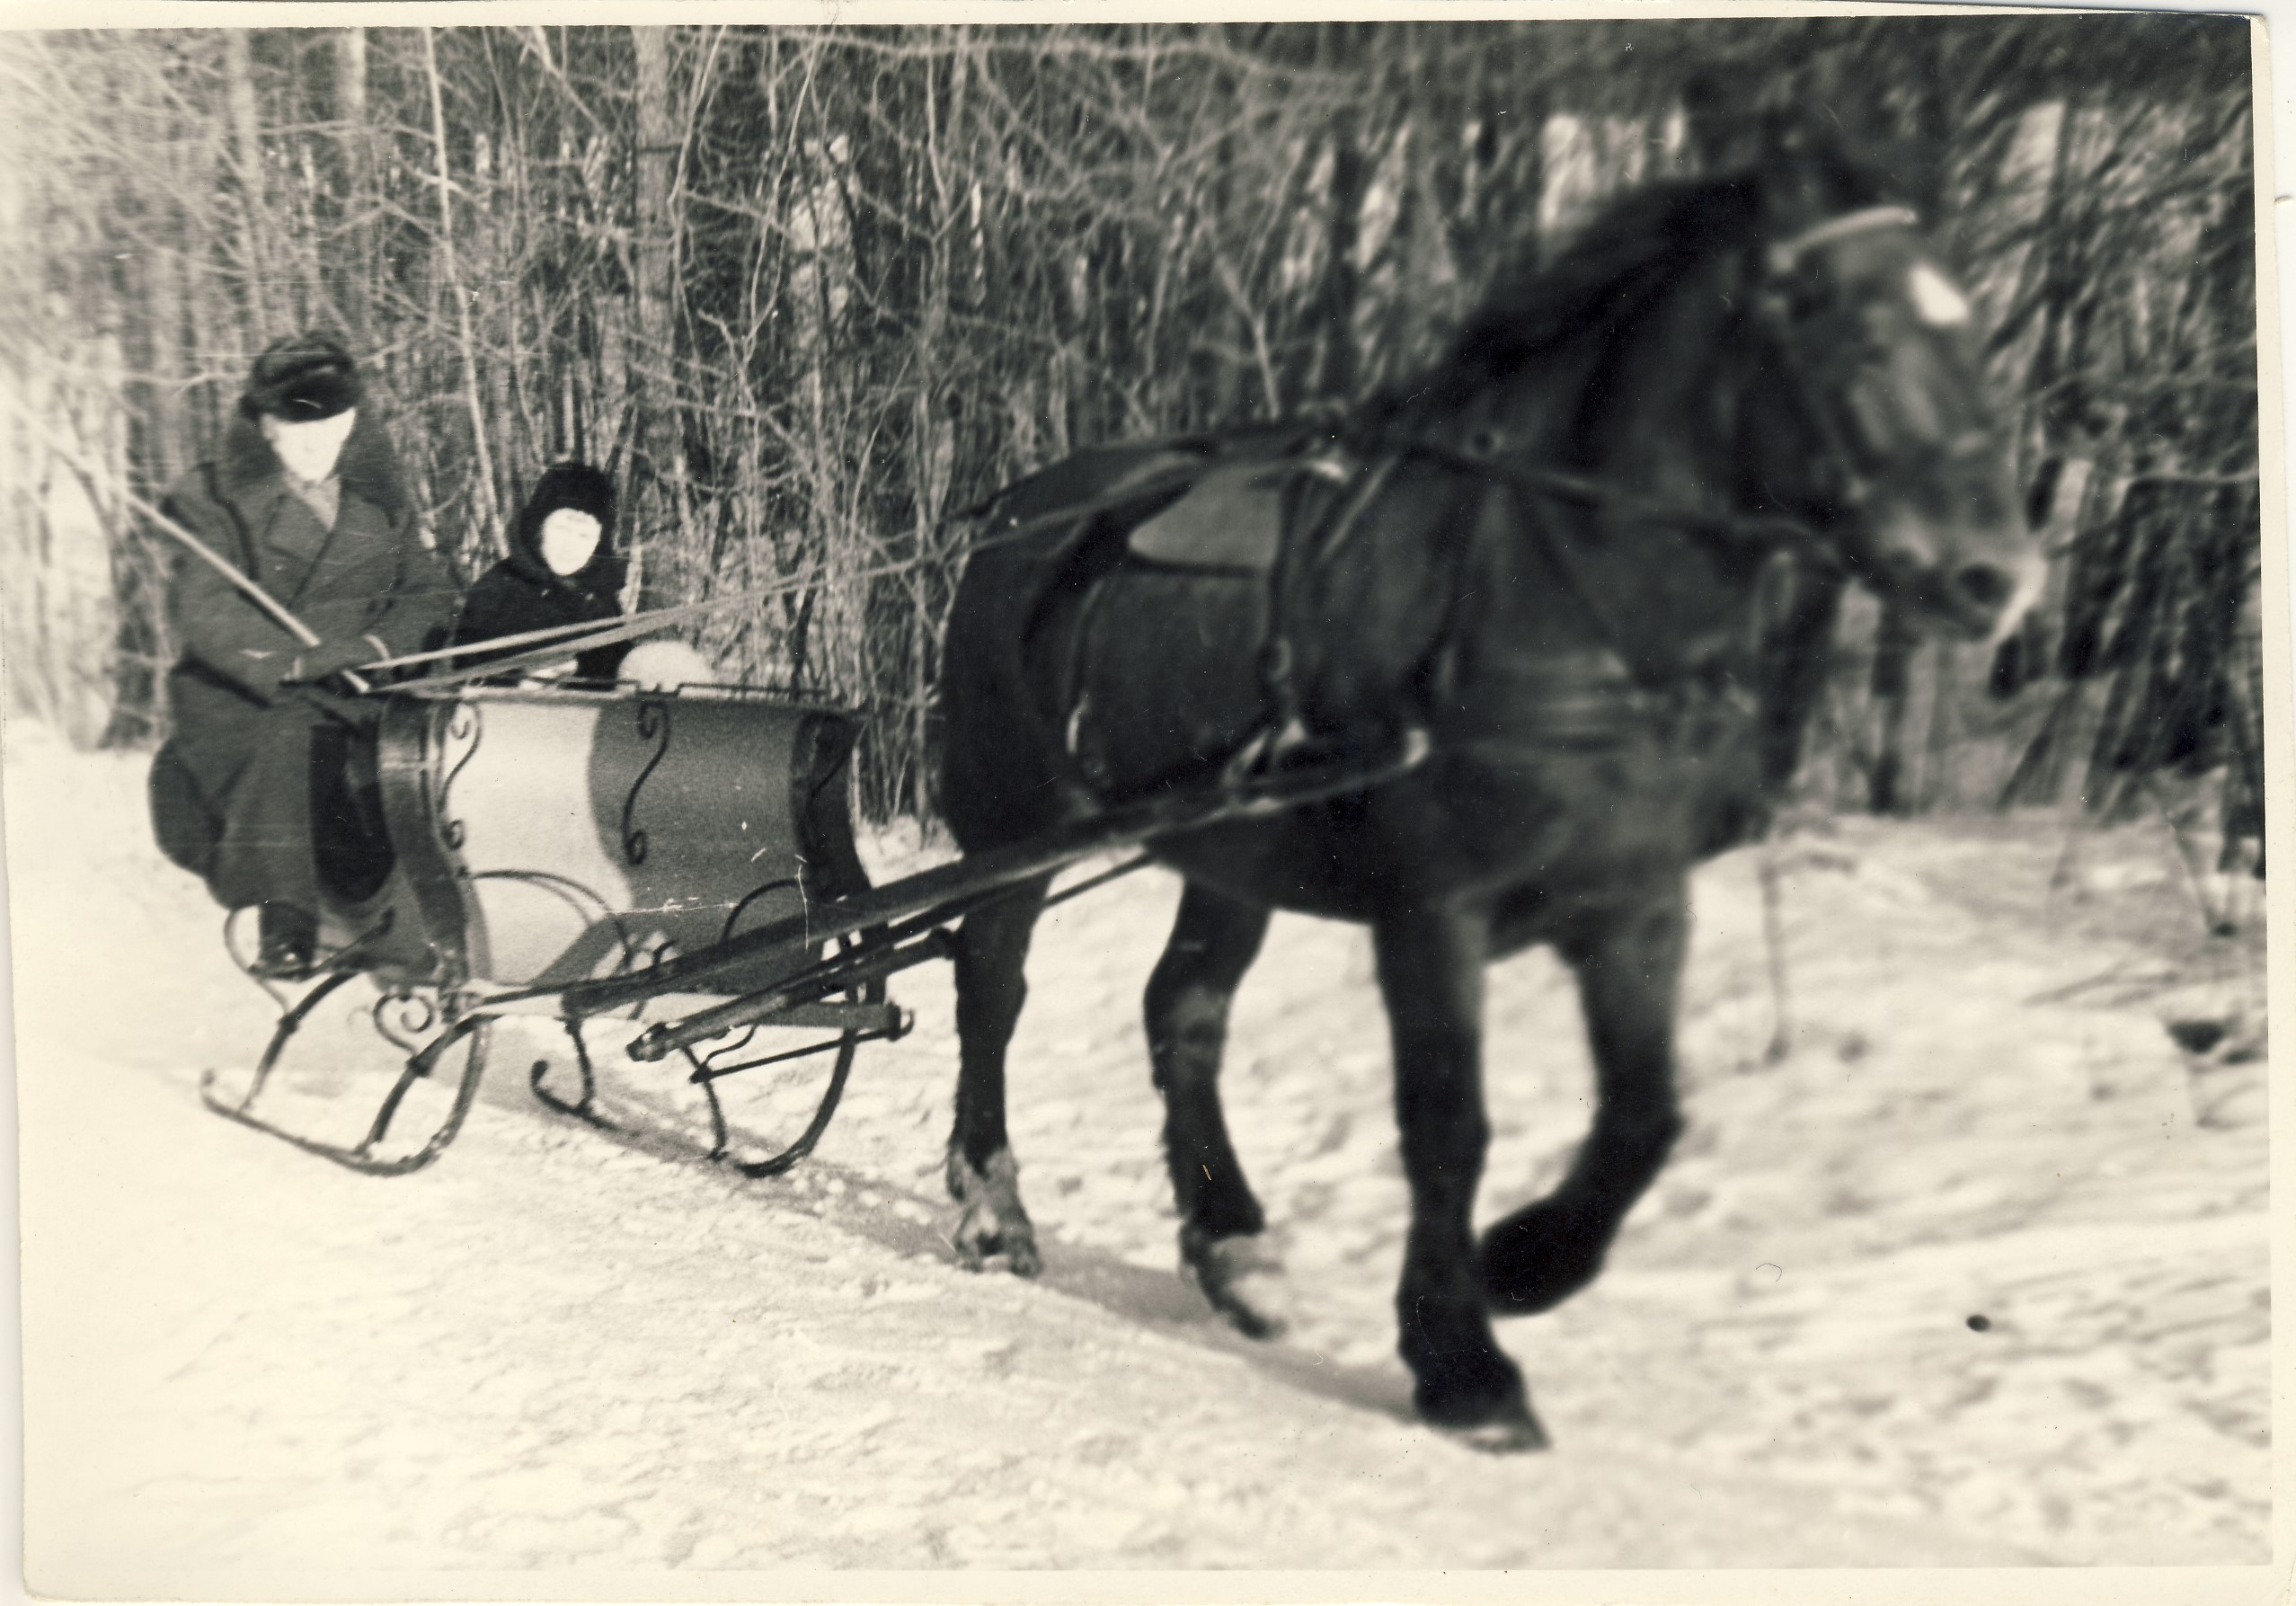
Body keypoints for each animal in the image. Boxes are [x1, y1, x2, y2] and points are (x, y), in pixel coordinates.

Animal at [932, 138, 2048, 1451]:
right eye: (1857, 337)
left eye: (1965, 330)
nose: (1996, 578)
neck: (1571, 602)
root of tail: (1021, 508)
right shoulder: (1435, 911)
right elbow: (1446, 1122)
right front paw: (1462, 1360)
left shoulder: (1633, 903)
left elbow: (1643, 1114)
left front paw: (1524, 1262)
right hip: (1015, 820)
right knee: (990, 986)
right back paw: (992, 1209)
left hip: (1228, 846)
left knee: (1184, 1011)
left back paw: (1235, 1245)